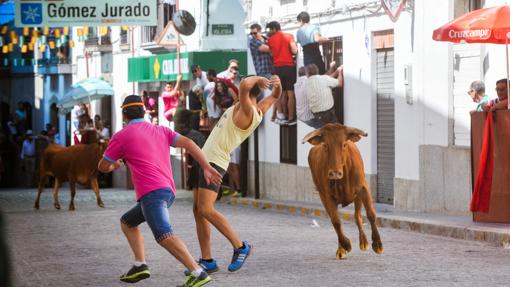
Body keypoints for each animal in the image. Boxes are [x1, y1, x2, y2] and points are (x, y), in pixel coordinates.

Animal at [302, 124, 382, 260]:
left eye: (344, 144)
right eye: (325, 145)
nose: (335, 173)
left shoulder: (363, 188)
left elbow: (371, 214)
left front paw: (377, 244)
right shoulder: (326, 196)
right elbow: (336, 221)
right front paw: (345, 245)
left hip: (357, 197)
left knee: (357, 216)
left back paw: (364, 242)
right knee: (337, 220)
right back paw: (341, 249)